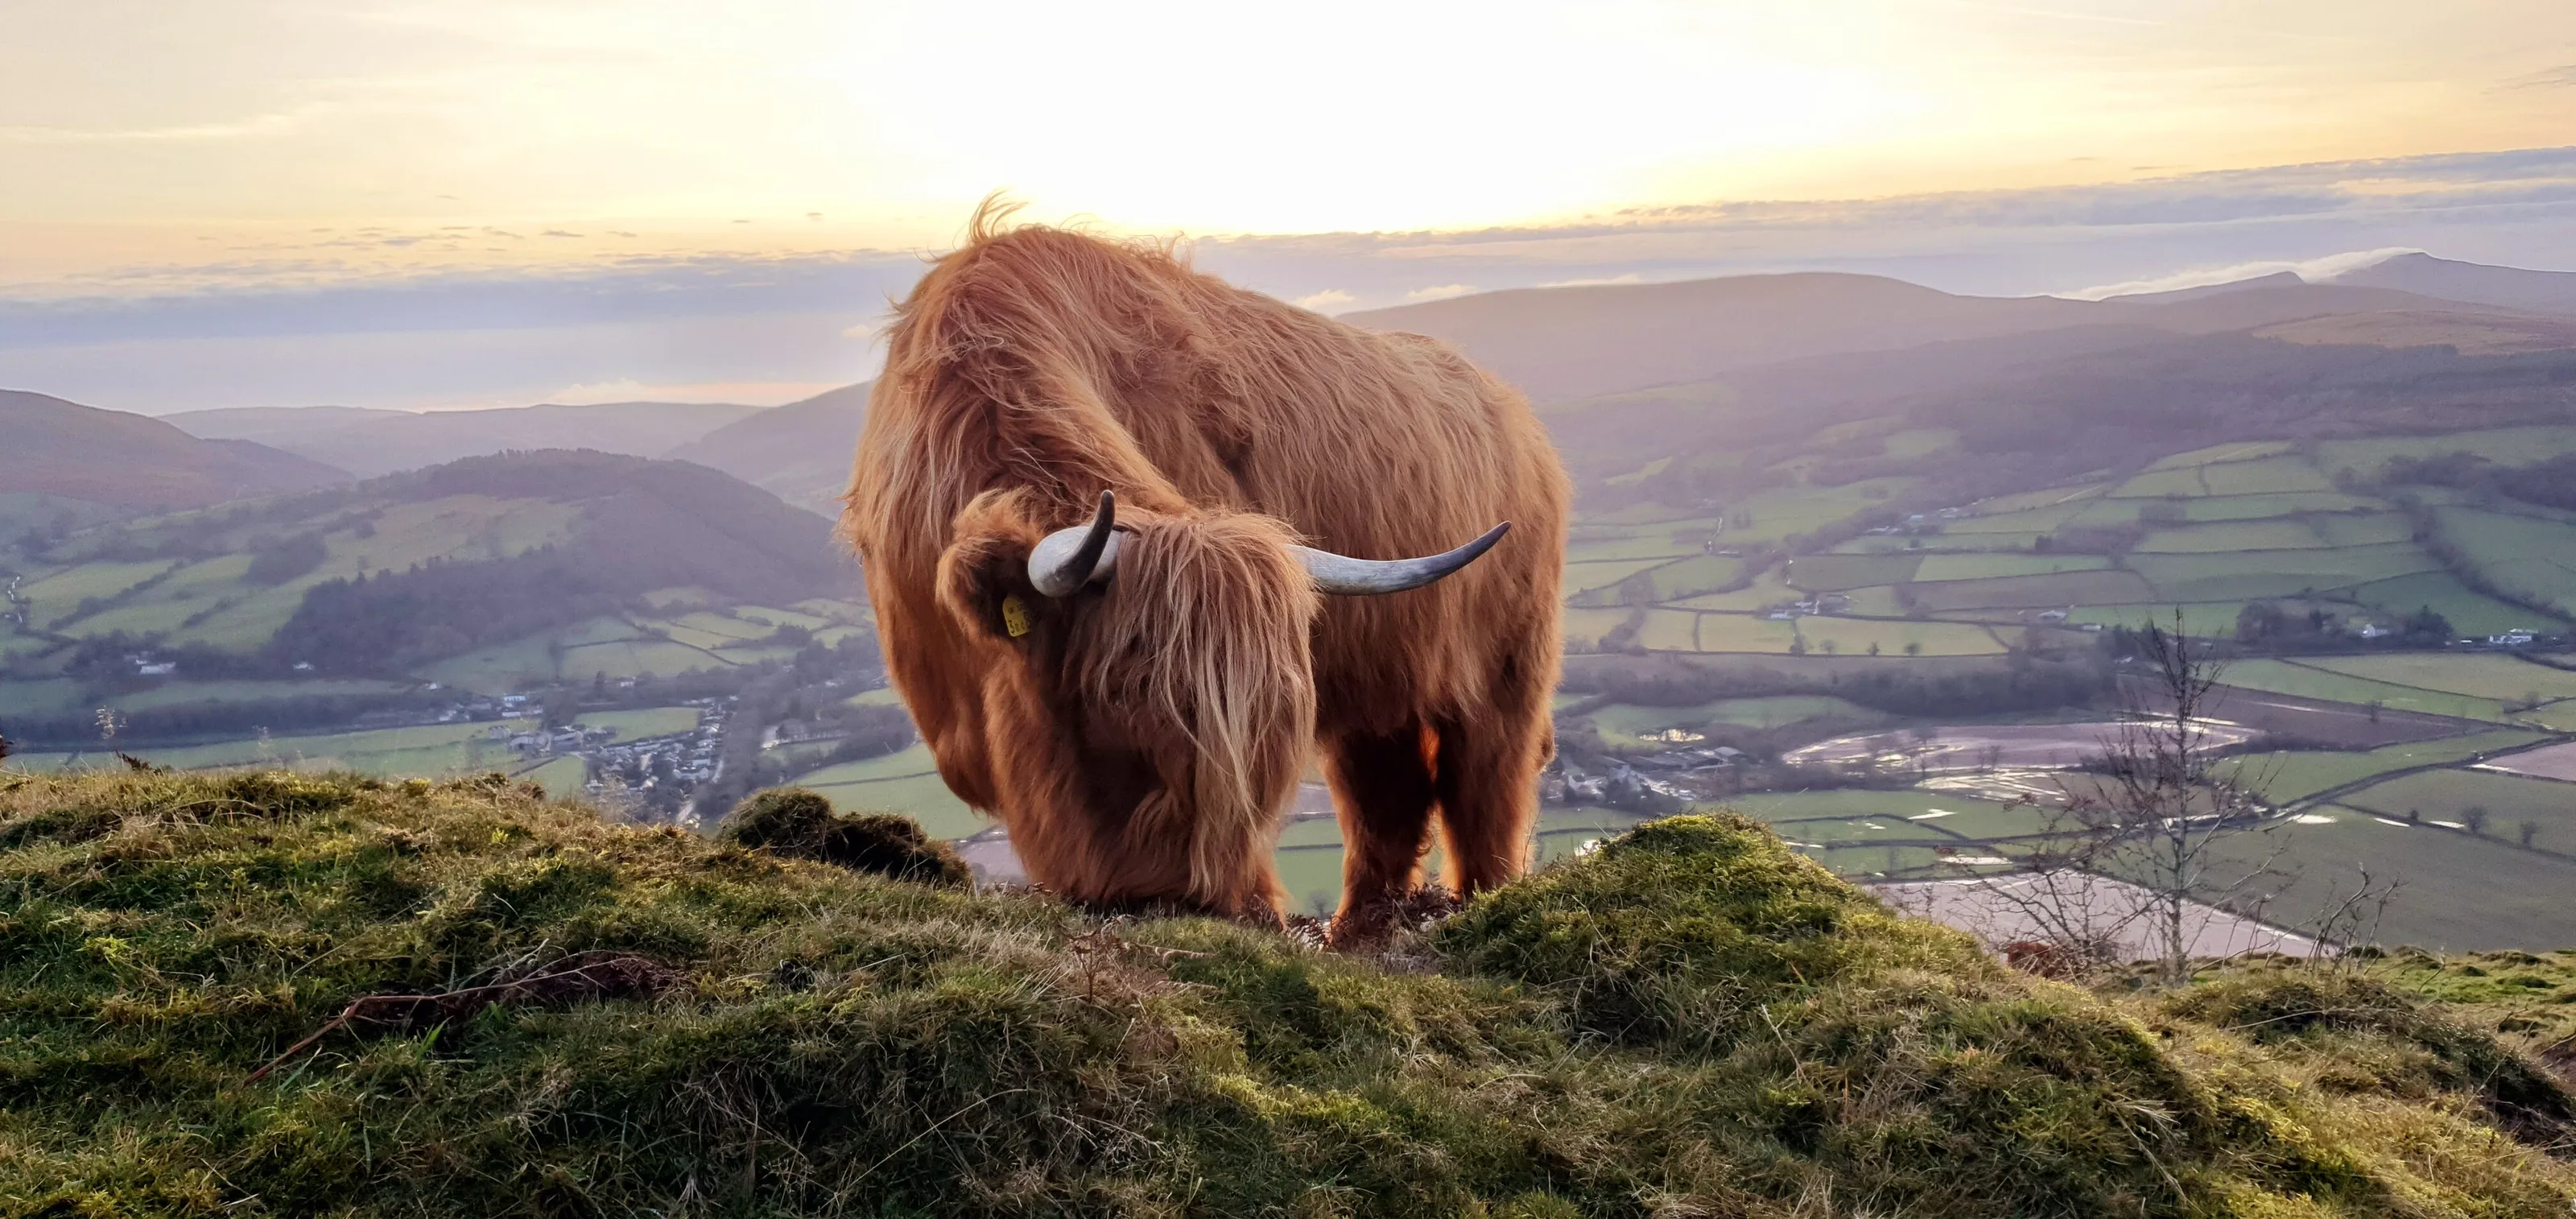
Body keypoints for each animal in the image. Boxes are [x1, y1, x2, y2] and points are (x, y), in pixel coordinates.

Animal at [842, 207, 1568, 943]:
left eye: (1259, 723)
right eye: (1118, 695)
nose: (1184, 901)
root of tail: (1518, 418)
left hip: (1508, 669)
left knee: (1485, 784)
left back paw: (1482, 901)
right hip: (1379, 680)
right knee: (1387, 792)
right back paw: (1362, 928)